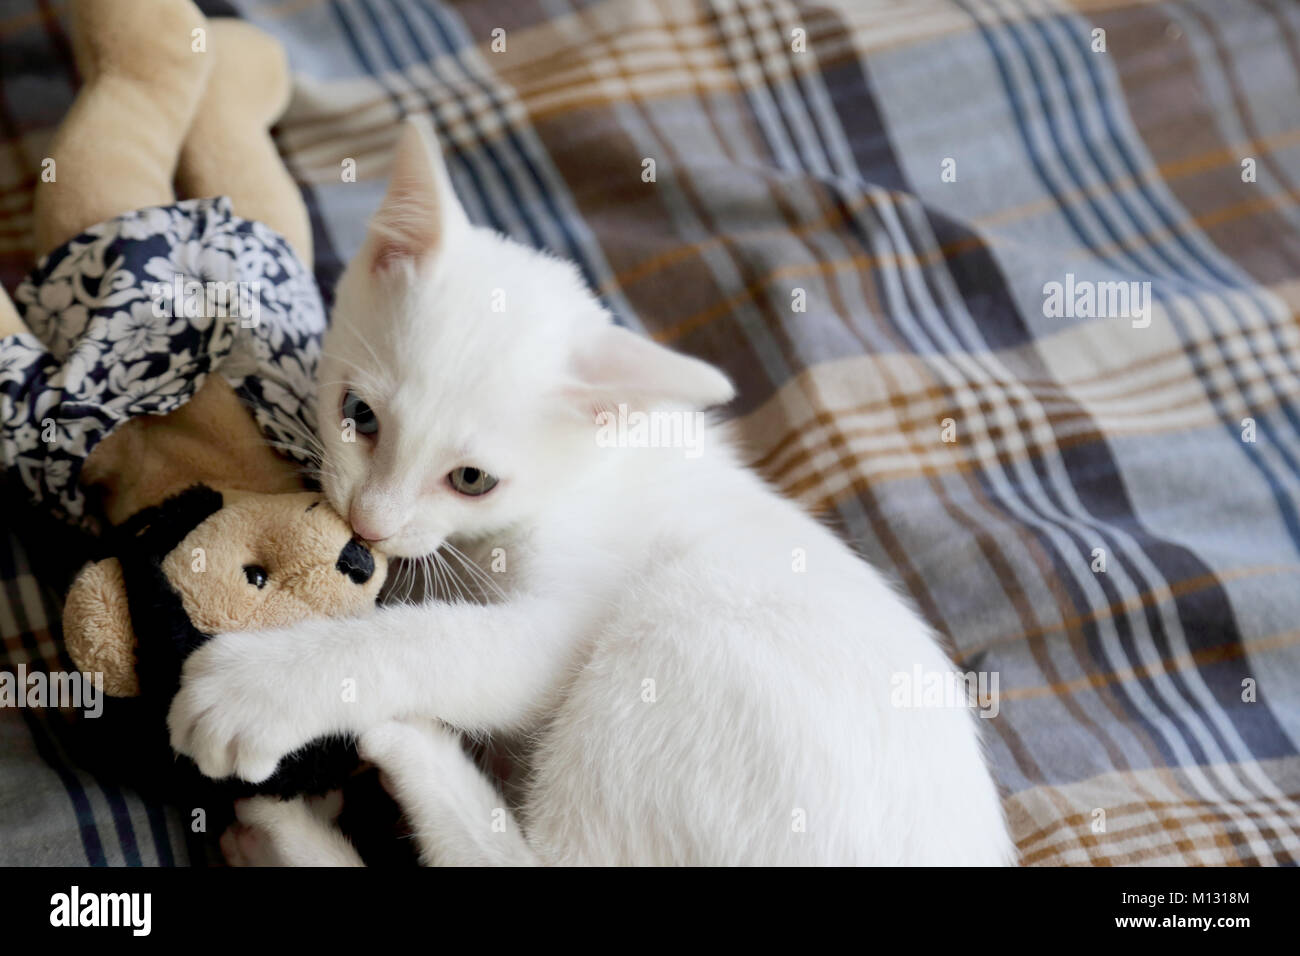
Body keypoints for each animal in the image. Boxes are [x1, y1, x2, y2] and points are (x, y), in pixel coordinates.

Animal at [165, 117, 1013, 868]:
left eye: (472, 480)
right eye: (359, 415)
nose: (368, 526)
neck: (592, 467)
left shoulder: (562, 623)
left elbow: (429, 641)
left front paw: (256, 687)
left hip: (682, 636)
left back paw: (372, 766)